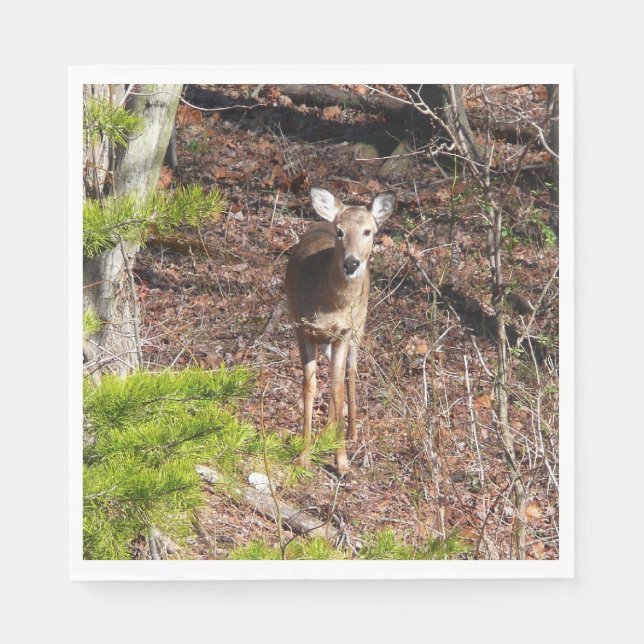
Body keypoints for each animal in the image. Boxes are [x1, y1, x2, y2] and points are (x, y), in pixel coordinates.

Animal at [285, 187, 396, 474]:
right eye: (340, 231)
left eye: (369, 231)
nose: (351, 263)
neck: (330, 305)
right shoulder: (302, 327)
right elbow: (310, 386)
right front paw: (303, 454)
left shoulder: (344, 332)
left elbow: (336, 389)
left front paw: (342, 462)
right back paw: (327, 432)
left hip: (360, 324)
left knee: (351, 372)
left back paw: (351, 432)